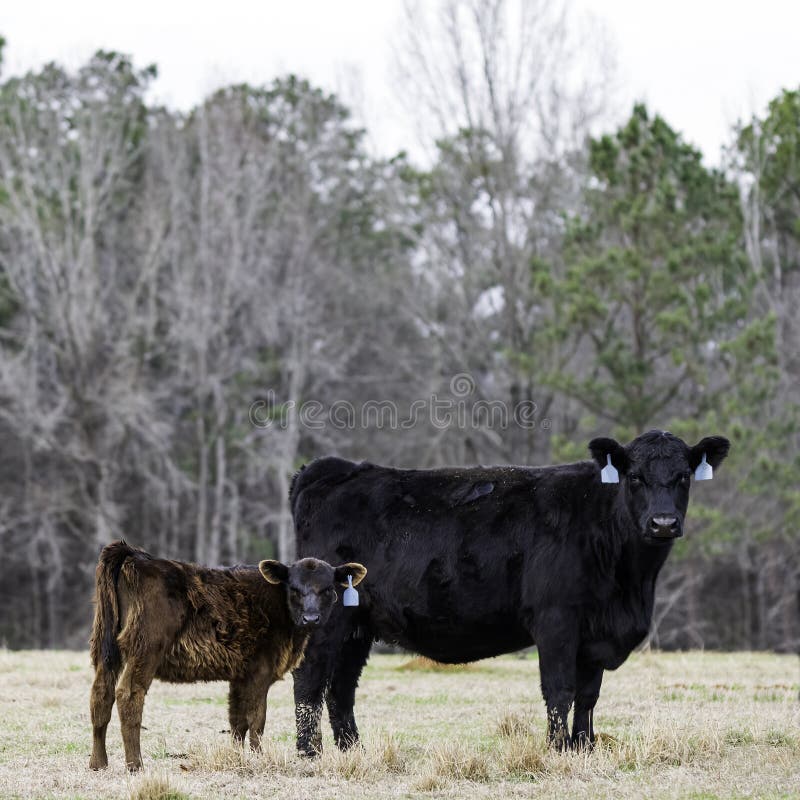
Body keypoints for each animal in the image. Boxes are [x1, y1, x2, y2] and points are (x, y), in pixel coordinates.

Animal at [88, 540, 366, 771]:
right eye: (294, 588)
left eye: (327, 588)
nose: (311, 617)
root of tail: (136, 555)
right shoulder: (260, 672)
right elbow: (257, 718)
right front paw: (258, 757)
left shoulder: (240, 674)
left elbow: (237, 720)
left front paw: (237, 757)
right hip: (144, 648)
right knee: (128, 695)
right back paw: (135, 765)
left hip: (105, 648)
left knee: (101, 694)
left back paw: (98, 763)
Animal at [289, 430, 729, 754]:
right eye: (635, 476)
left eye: (684, 476)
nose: (663, 523)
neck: (630, 585)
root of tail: (336, 469)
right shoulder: (556, 620)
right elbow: (560, 689)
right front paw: (557, 749)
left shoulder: (594, 633)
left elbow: (589, 694)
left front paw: (583, 748)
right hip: (327, 617)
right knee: (310, 678)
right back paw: (310, 753)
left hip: (358, 622)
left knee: (341, 687)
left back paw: (353, 750)